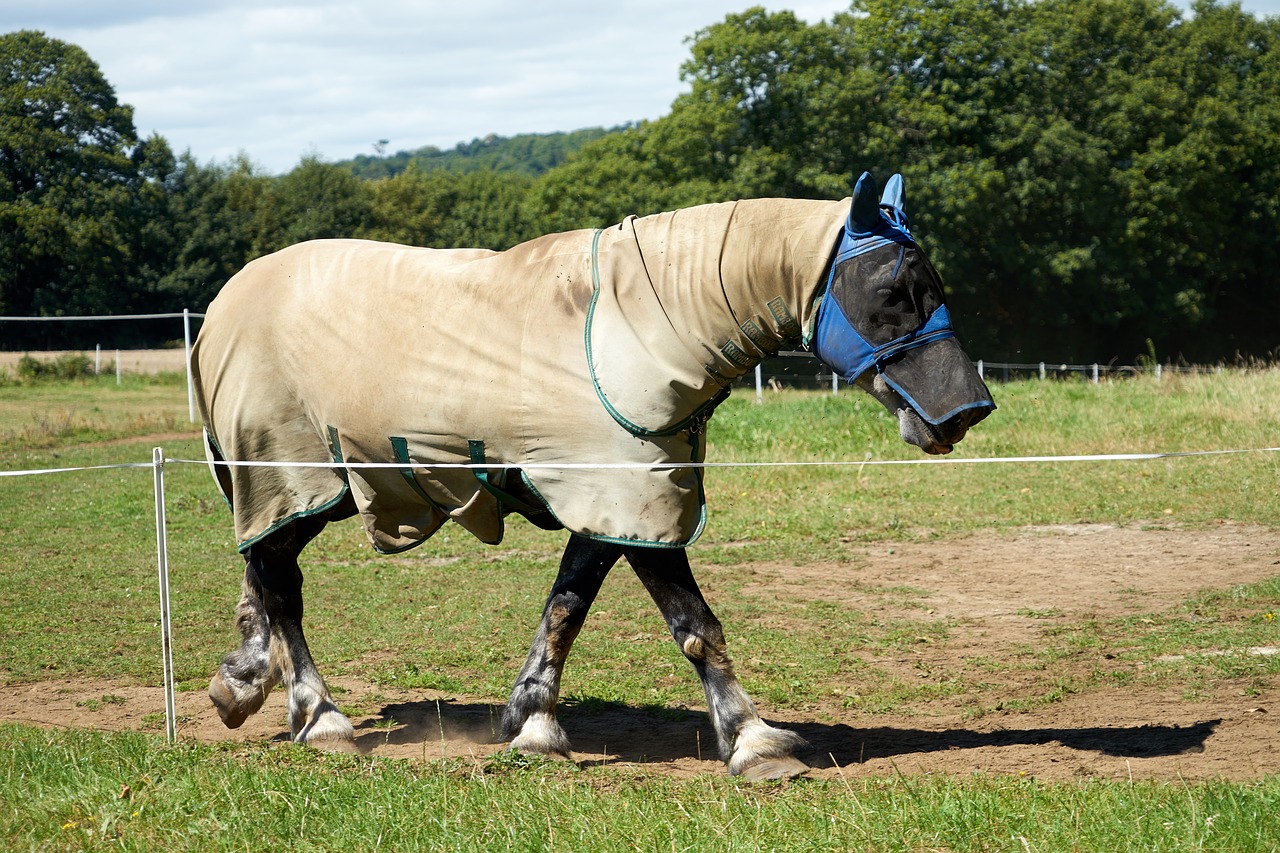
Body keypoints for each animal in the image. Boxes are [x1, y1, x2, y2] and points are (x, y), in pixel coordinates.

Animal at [189, 169, 993, 773]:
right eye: (894, 290)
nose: (967, 410)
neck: (649, 328)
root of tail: (222, 307)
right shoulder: (632, 500)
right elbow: (694, 625)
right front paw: (754, 740)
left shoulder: (614, 505)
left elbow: (566, 608)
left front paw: (530, 719)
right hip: (292, 477)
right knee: (279, 581)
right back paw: (319, 714)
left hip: (314, 488)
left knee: (265, 571)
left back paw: (245, 679)